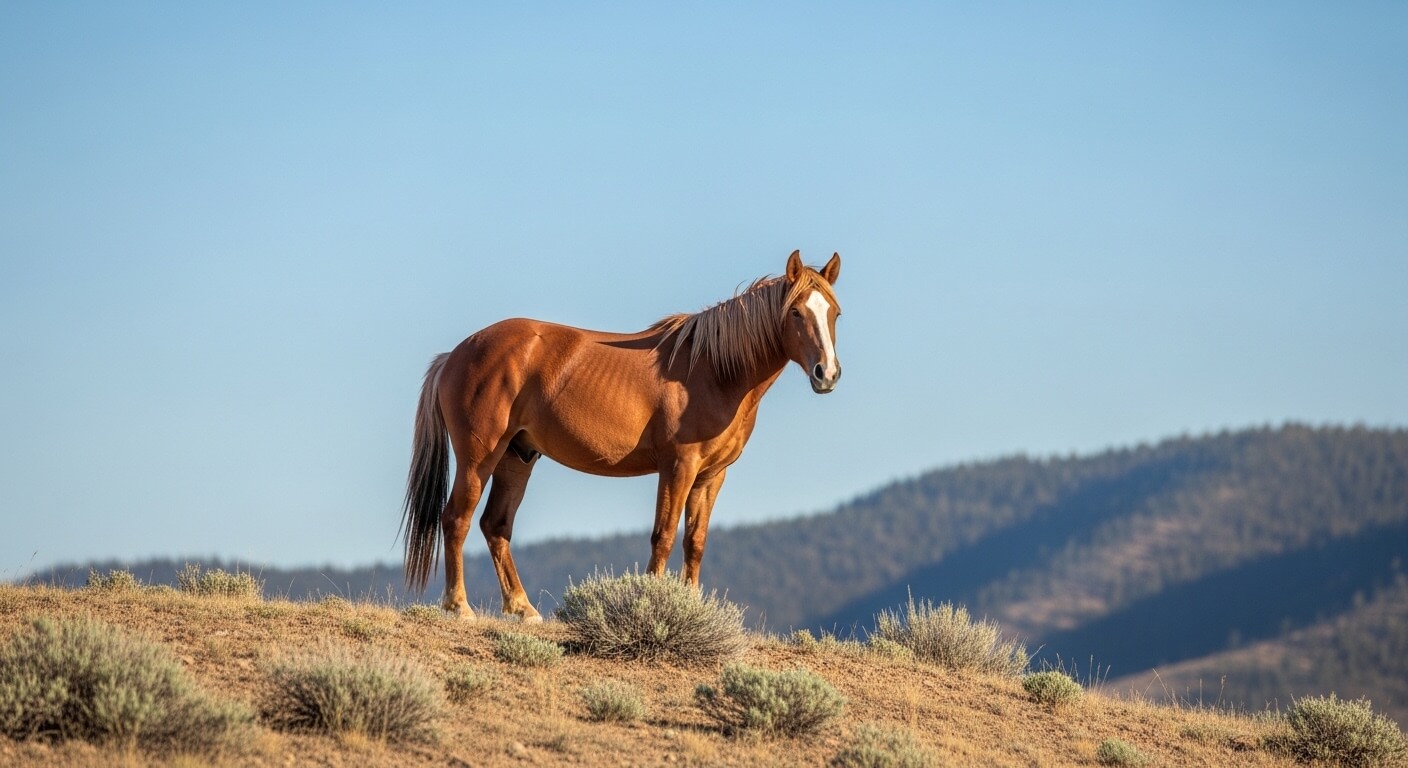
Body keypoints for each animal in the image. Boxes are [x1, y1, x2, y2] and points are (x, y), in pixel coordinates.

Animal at [400, 250, 842, 621]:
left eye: (835, 313)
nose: (828, 374)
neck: (714, 370)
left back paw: (523, 609)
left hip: (517, 456)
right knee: (456, 519)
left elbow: (695, 542)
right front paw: (652, 606)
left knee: (495, 525)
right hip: (479, 458)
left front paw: (692, 607)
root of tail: (455, 354)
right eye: (796, 312)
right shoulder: (678, 467)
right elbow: (663, 537)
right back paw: (459, 607)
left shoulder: (711, 475)